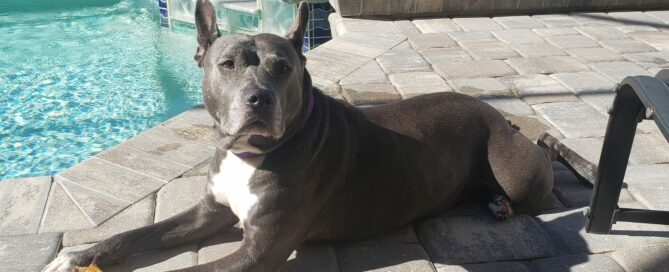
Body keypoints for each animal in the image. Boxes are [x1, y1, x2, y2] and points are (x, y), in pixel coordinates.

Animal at [43, 1, 552, 270]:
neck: (248, 155)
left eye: (282, 68)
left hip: (520, 172)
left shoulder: (259, 250)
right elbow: (135, 232)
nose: (259, 99)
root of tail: (496, 113)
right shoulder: (209, 213)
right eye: (227, 64)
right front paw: (78, 257)